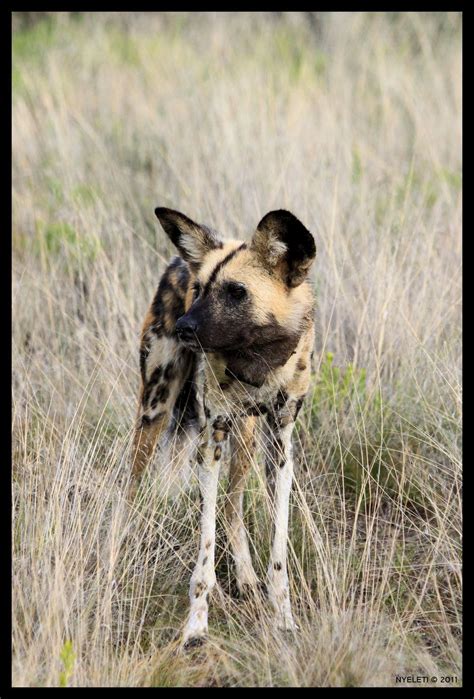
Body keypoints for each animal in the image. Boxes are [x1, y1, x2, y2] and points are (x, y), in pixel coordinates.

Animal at [131, 208, 314, 652]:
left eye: (236, 292)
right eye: (199, 290)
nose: (184, 328)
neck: (258, 361)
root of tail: (179, 259)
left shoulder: (280, 448)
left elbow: (278, 555)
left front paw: (283, 619)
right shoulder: (209, 443)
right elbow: (204, 559)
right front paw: (196, 629)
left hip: (246, 438)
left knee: (233, 505)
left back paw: (246, 580)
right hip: (155, 410)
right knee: (130, 493)